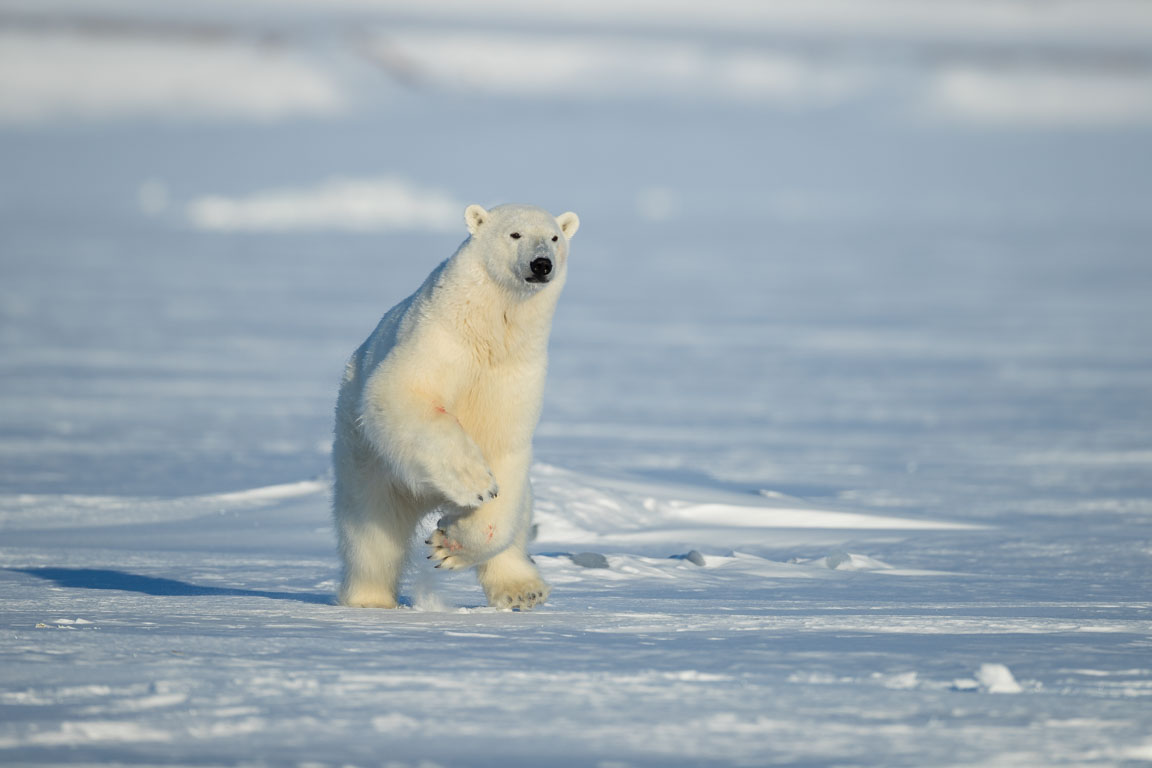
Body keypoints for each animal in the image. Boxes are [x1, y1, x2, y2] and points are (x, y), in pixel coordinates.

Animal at [336, 201, 585, 607]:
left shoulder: (515, 373)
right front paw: (477, 484)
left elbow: (503, 455)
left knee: (519, 515)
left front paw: (447, 544)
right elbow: (402, 393)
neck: (490, 330)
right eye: (514, 234)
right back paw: (369, 599)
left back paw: (522, 589)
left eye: (554, 237)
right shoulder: (439, 339)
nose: (541, 264)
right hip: (367, 459)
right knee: (372, 531)